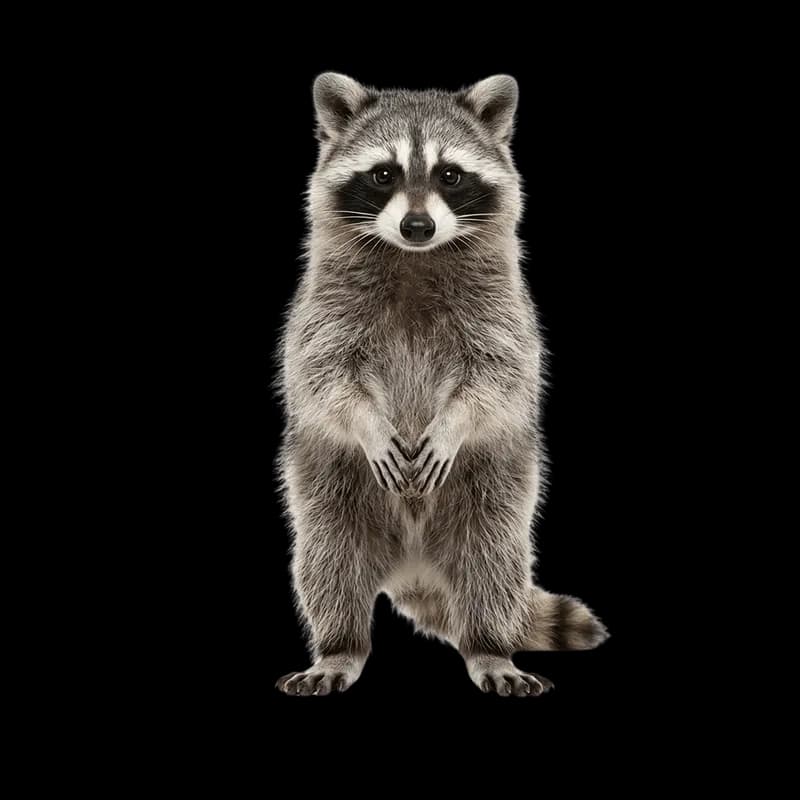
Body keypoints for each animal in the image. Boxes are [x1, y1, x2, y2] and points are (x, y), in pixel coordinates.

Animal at [276, 73, 608, 697]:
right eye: (383, 174)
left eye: (450, 176)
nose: (417, 226)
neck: (414, 257)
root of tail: (413, 566)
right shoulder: (320, 308)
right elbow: (324, 373)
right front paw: (368, 422)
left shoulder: (505, 309)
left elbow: (499, 373)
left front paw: (455, 422)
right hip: (327, 484)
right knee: (328, 559)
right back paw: (339, 646)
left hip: (498, 482)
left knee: (492, 560)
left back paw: (488, 646)